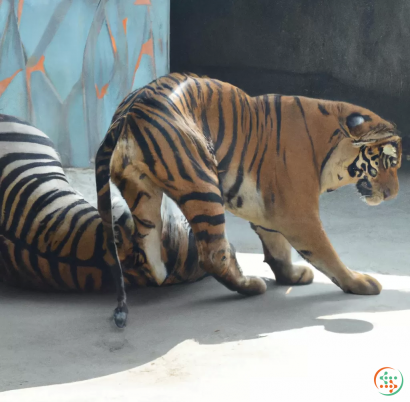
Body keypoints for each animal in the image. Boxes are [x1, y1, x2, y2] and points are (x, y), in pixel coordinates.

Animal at [96, 74, 400, 328]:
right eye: (389, 162)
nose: (394, 194)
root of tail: (126, 112)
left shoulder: (269, 209)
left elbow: (278, 249)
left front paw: (291, 276)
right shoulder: (298, 214)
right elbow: (328, 254)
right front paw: (360, 283)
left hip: (143, 193)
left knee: (149, 253)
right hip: (203, 182)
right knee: (214, 255)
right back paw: (251, 285)